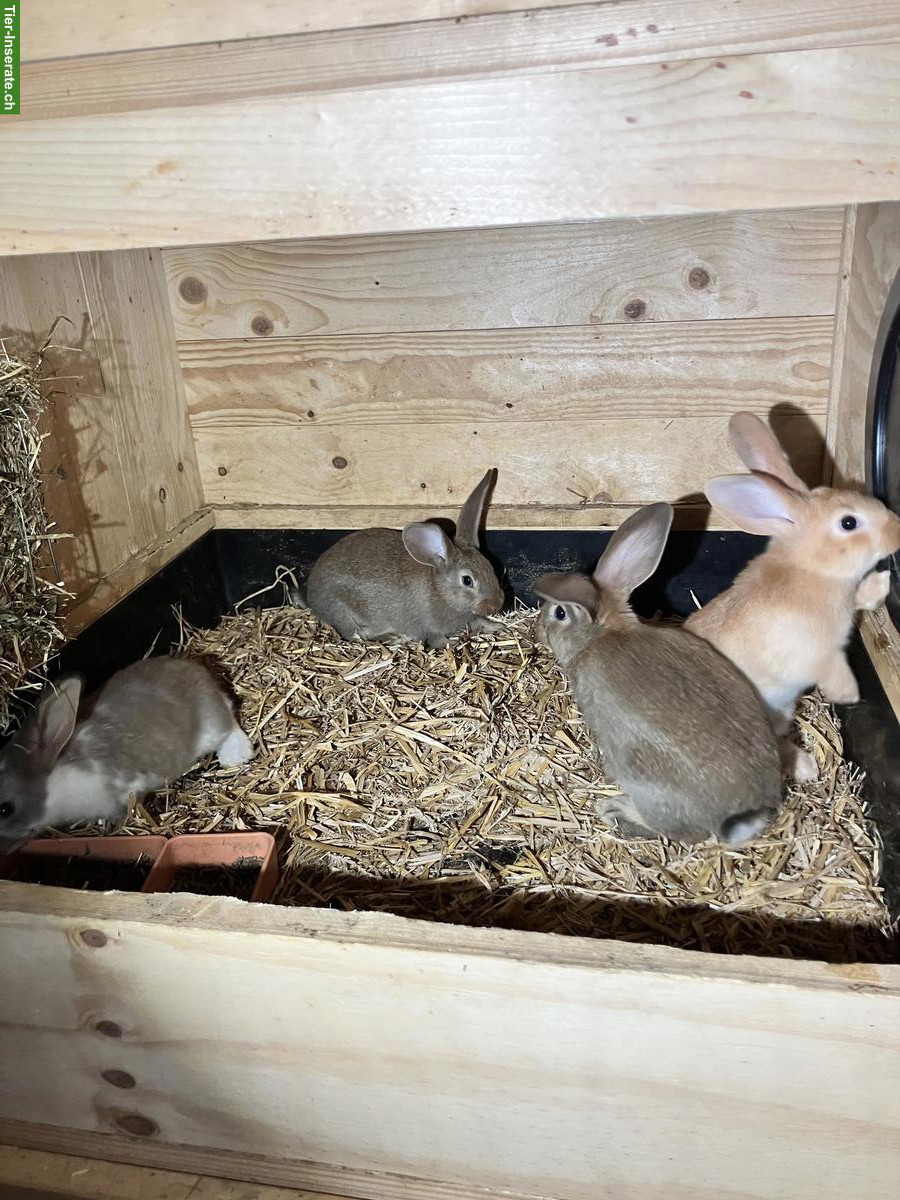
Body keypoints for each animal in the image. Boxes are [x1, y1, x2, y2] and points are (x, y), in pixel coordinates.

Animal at [0, 657, 253, 855]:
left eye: (5, 809)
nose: (3, 850)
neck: (54, 781)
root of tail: (198, 671)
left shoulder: (129, 786)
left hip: (211, 726)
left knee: (228, 722)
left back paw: (236, 755)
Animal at [293, 468, 505, 649]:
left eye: (491, 567)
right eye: (467, 580)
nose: (497, 604)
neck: (441, 593)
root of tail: (312, 598)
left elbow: (480, 621)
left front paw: (497, 627)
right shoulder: (429, 628)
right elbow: (437, 639)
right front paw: (449, 645)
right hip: (349, 615)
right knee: (358, 635)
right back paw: (393, 637)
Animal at [686, 412, 900, 782]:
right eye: (848, 523)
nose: (898, 530)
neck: (811, 569)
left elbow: (860, 597)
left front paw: (881, 584)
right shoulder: (815, 653)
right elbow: (832, 667)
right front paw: (850, 694)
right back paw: (806, 767)